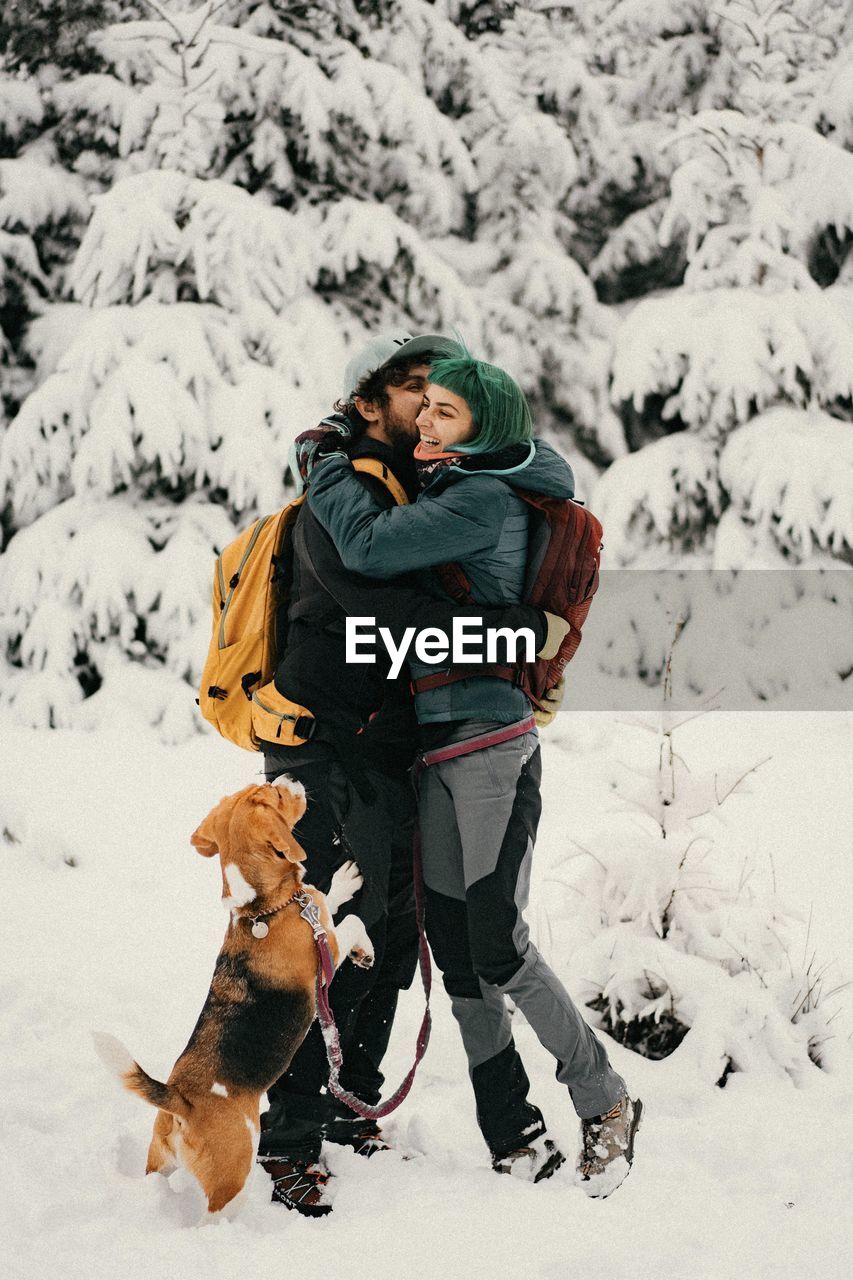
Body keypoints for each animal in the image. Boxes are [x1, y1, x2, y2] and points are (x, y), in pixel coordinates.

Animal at [94, 778, 371, 1208]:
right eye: (275, 795)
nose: (290, 778)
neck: (261, 907)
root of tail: (180, 1100)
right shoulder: (326, 955)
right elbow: (352, 920)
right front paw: (365, 950)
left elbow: (327, 896)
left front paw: (342, 882)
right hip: (234, 1172)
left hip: (160, 1161)